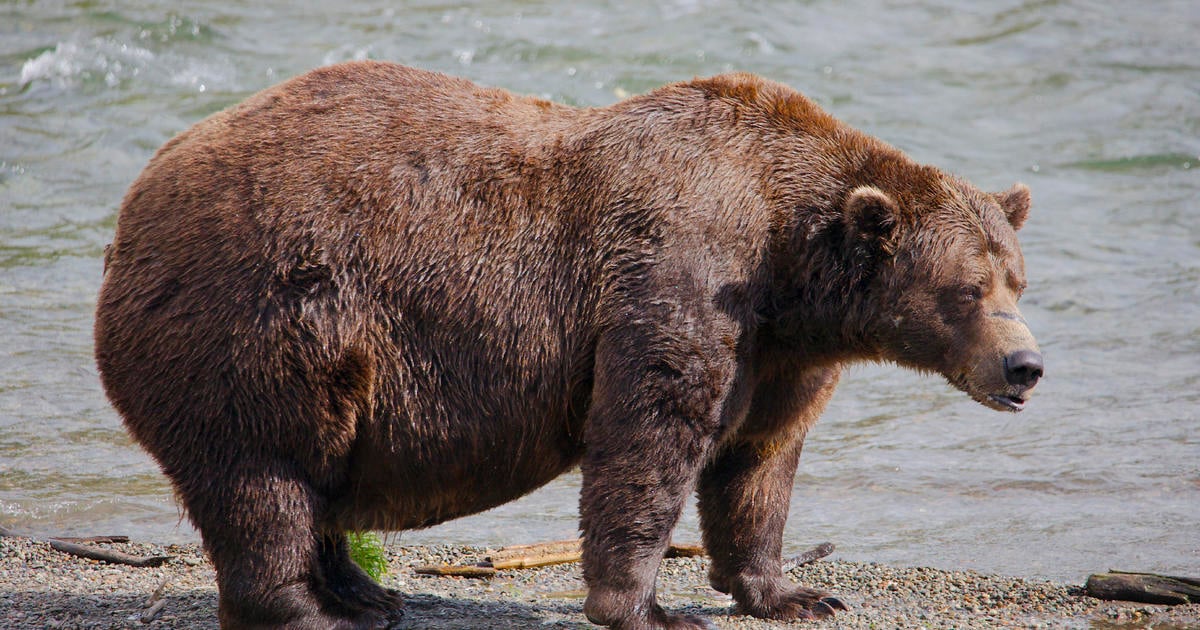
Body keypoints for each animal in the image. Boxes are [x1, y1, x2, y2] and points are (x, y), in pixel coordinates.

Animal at [96, 60, 1041, 628]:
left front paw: (793, 591)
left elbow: (759, 462)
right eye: (968, 289)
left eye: (1017, 279)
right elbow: (649, 438)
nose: (1025, 365)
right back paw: (314, 606)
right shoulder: (679, 275)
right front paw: (647, 606)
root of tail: (132, 206)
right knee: (265, 477)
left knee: (315, 477)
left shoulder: (781, 353)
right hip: (262, 319)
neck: (786, 260)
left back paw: (367, 591)